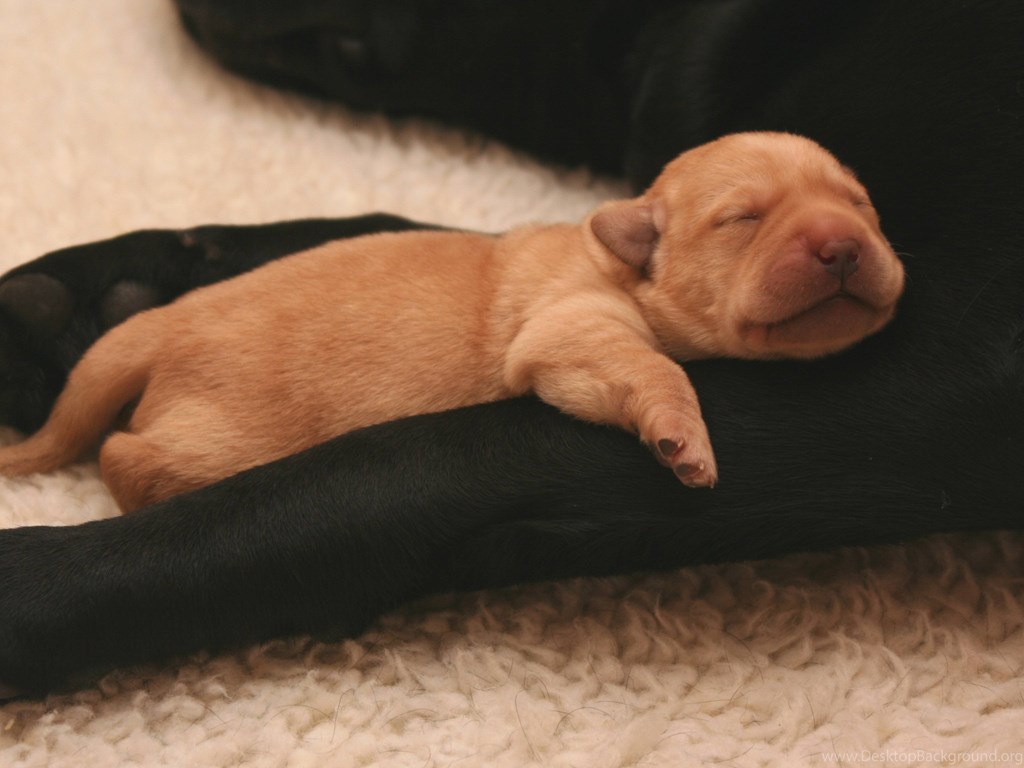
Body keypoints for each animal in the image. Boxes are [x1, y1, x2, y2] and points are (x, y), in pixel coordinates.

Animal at [0, 132, 903, 511]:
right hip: (223, 436)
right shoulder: (568, 326)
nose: (842, 246)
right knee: (124, 455)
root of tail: (159, 325)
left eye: (861, 203)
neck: (619, 263)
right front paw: (682, 437)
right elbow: (649, 366)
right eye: (743, 219)